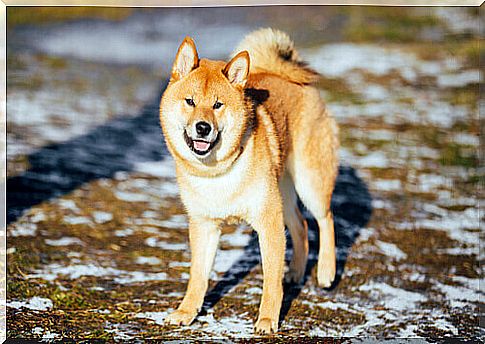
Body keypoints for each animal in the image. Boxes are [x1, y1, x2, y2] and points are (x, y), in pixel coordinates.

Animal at [159, 28, 336, 334]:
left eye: (217, 105)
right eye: (190, 101)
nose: (202, 127)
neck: (217, 172)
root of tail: (284, 74)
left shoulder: (268, 223)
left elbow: (271, 282)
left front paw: (267, 319)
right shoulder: (204, 225)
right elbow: (198, 276)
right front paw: (186, 312)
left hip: (309, 183)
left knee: (325, 219)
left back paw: (326, 271)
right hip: (283, 193)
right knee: (301, 226)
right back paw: (296, 271)